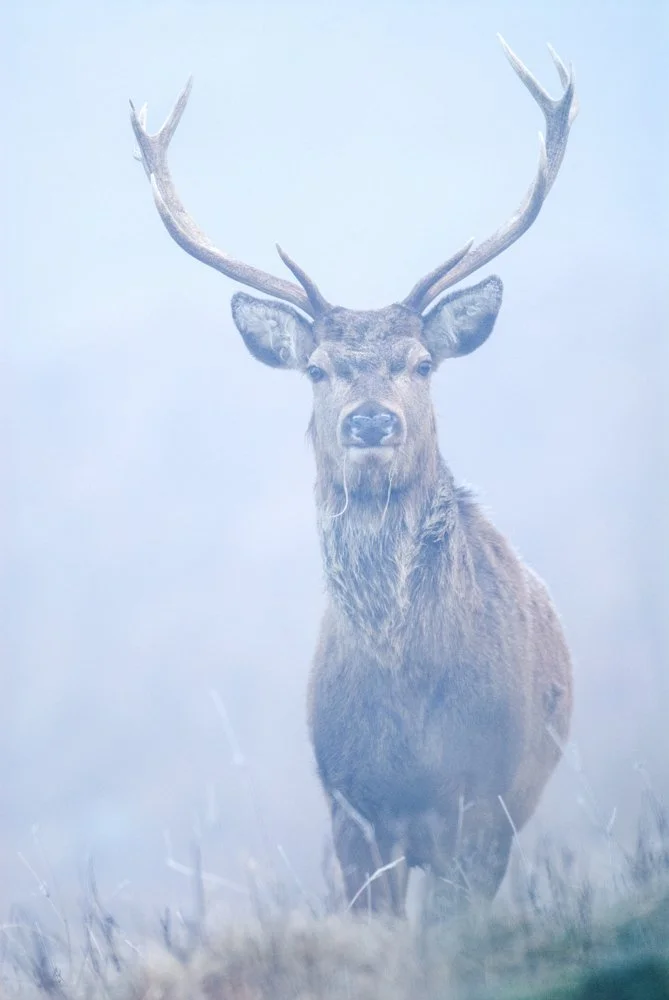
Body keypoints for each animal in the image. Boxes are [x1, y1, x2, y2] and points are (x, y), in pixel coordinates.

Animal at [130, 37, 577, 919]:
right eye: (316, 369)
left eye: (422, 362)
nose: (371, 421)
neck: (408, 696)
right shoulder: (349, 804)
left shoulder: (481, 795)